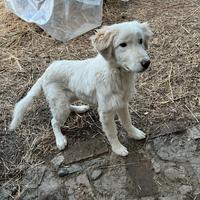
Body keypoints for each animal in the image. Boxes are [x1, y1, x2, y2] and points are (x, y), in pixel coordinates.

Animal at [9, 20, 153, 156]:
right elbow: (112, 133)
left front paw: (135, 133)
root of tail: (46, 71)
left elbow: (127, 122)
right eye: (123, 45)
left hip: (69, 98)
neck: (116, 73)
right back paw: (60, 140)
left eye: (140, 41)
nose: (146, 63)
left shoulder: (122, 104)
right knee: (54, 121)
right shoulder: (106, 112)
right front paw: (118, 149)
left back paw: (80, 108)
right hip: (60, 107)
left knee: (68, 107)